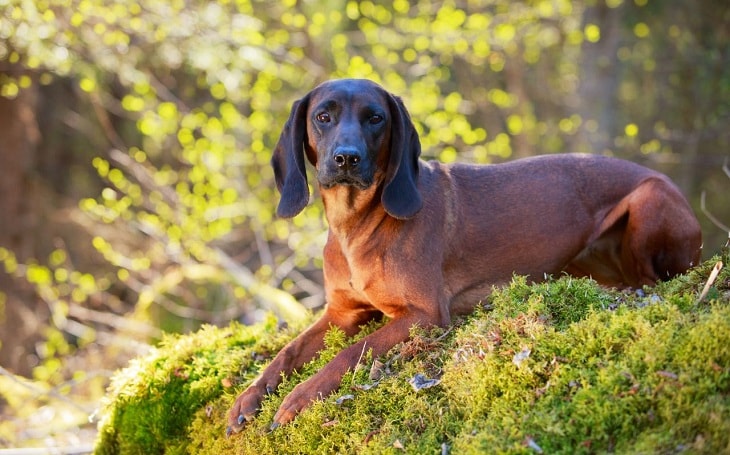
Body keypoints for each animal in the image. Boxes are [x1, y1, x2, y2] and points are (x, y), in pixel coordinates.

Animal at [226, 78, 700, 434]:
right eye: (322, 117)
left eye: (375, 118)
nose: (346, 158)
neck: (357, 226)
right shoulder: (340, 314)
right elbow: (285, 354)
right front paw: (248, 398)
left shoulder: (424, 315)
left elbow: (350, 354)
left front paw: (300, 398)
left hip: (650, 197)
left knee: (650, 281)